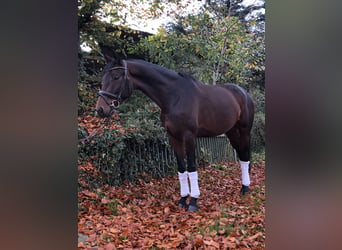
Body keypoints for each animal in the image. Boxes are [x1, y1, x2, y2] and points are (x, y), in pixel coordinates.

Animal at [96, 58, 254, 211]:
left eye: (116, 77)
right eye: (103, 78)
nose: (100, 110)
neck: (174, 96)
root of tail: (244, 93)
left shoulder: (189, 136)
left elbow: (191, 167)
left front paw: (193, 202)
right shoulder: (173, 137)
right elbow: (181, 169)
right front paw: (183, 199)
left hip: (244, 130)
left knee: (245, 155)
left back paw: (245, 188)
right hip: (231, 131)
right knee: (241, 155)